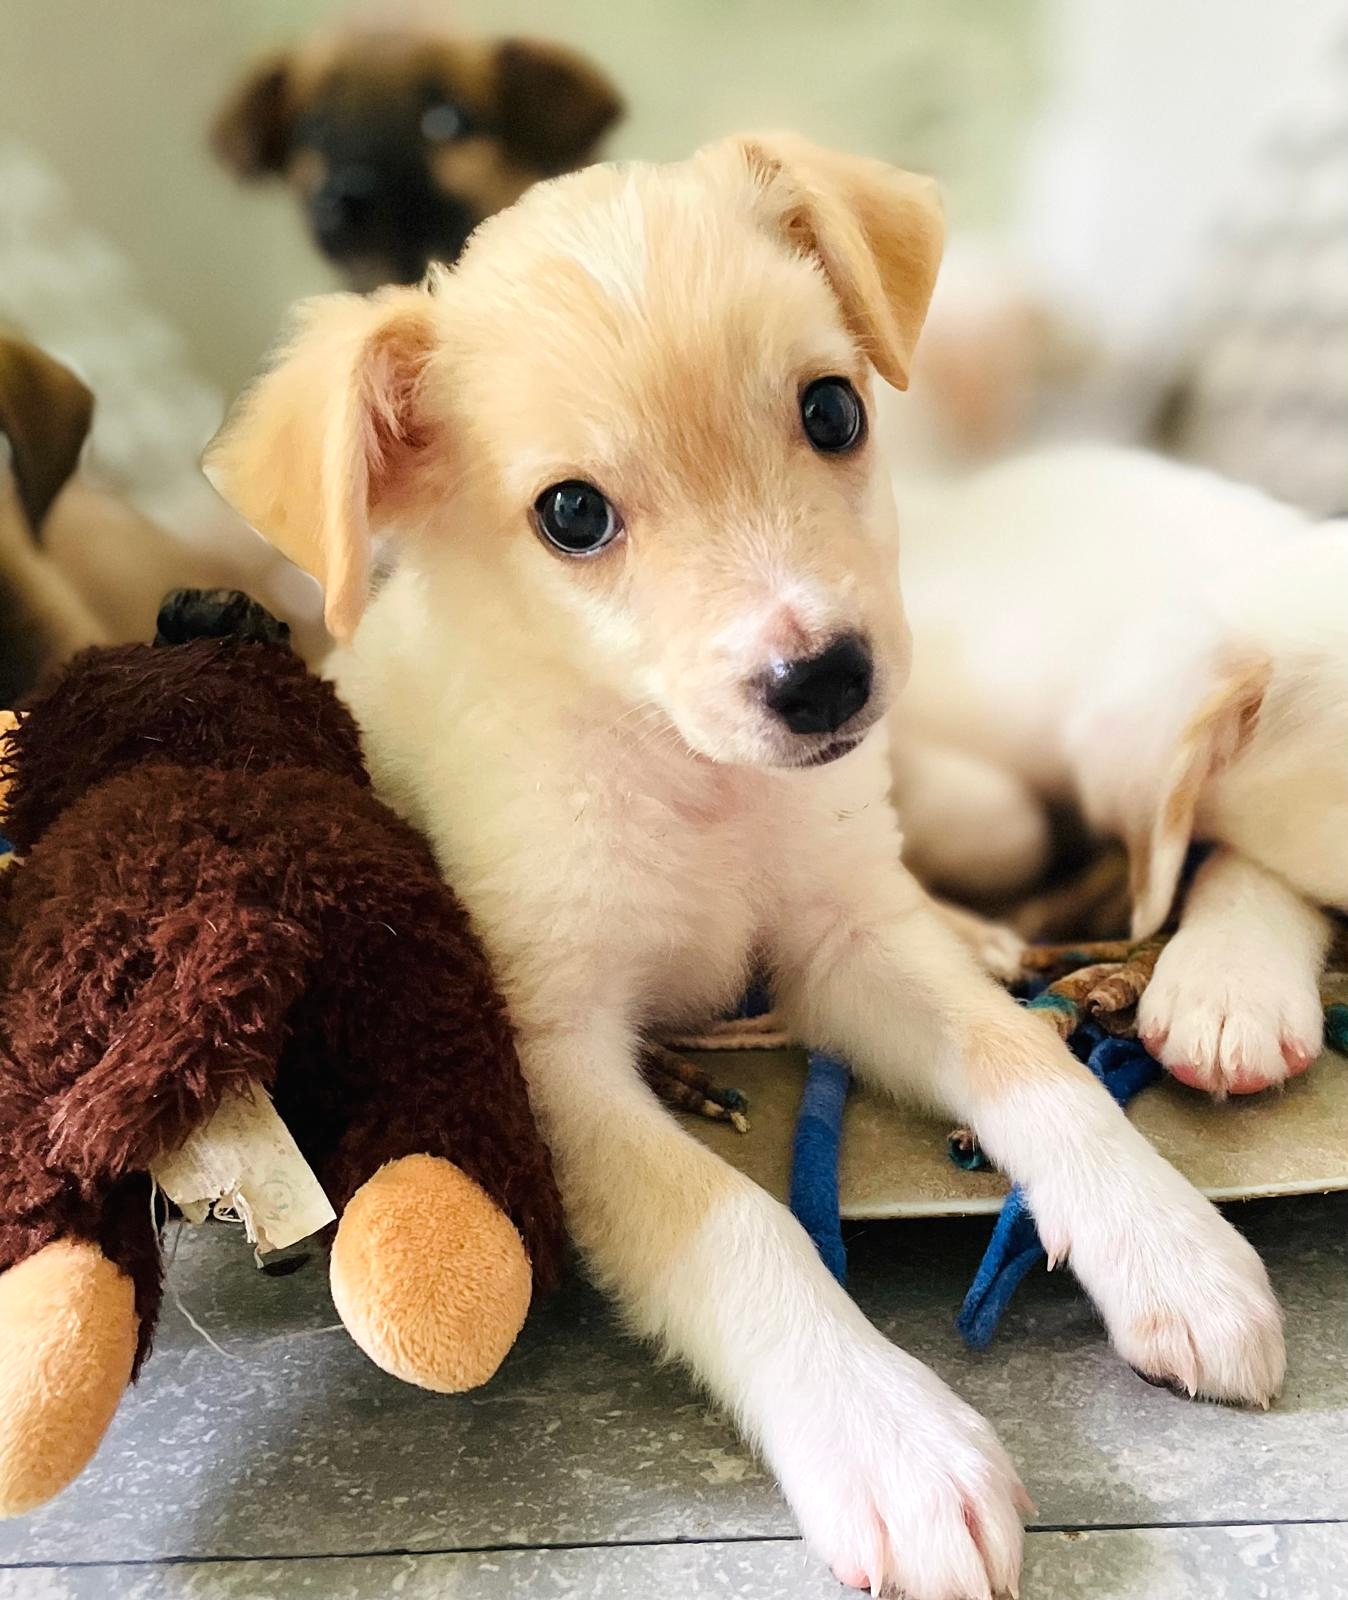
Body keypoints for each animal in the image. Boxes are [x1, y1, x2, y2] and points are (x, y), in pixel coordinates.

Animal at [209, 137, 1280, 1600]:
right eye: (571, 513)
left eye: (831, 410)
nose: (825, 680)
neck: (693, 787)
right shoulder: (553, 1057)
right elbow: (732, 1220)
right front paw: (891, 1442)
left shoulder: (844, 942)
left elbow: (1027, 1062)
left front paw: (1169, 1244)